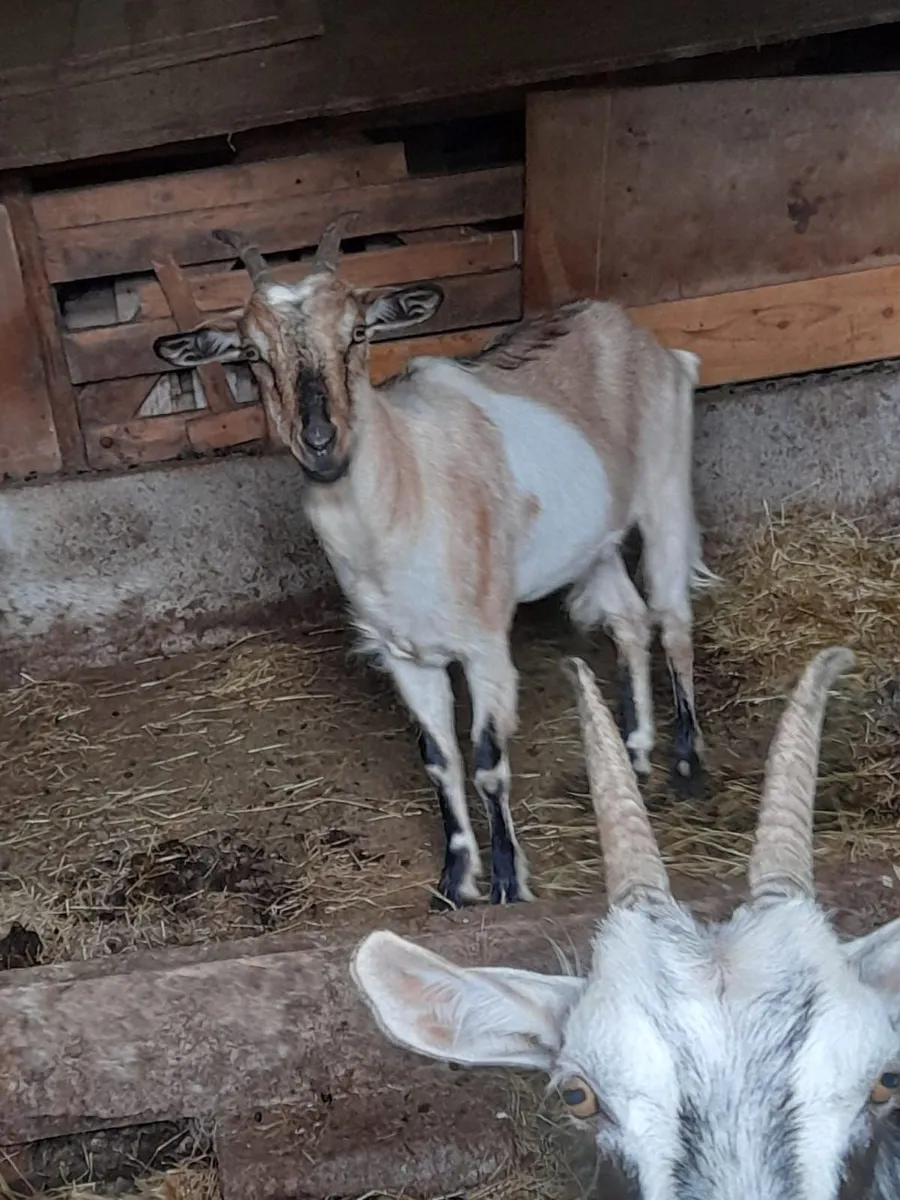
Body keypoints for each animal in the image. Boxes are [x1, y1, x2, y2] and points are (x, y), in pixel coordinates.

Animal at [153, 218, 717, 911]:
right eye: (253, 354)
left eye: (359, 333)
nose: (321, 441)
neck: (406, 492)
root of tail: (636, 334)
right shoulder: (404, 654)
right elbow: (439, 759)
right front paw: (454, 880)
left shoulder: (484, 646)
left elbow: (487, 762)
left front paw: (507, 883)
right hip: (593, 540)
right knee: (630, 620)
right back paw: (635, 754)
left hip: (665, 487)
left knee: (671, 616)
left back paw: (686, 765)